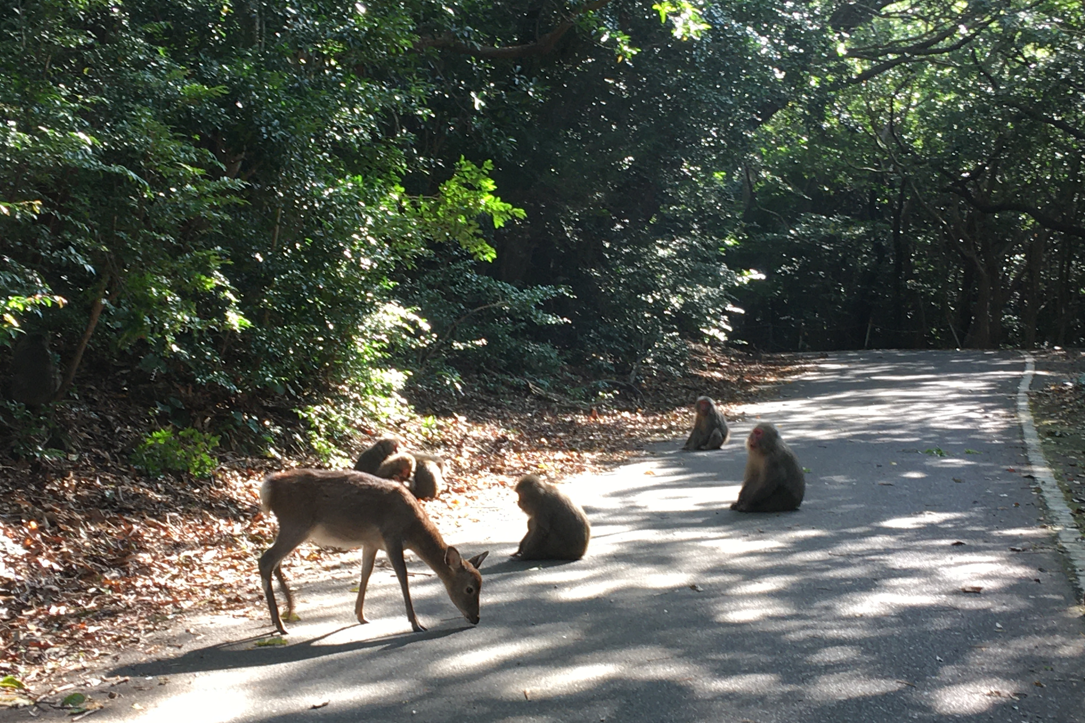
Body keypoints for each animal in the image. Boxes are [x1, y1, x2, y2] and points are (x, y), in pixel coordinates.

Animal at [258, 466, 488, 629]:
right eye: (469, 588)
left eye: (480, 585)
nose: (476, 618)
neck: (412, 528)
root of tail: (268, 488)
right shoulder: (391, 537)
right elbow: (402, 576)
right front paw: (416, 623)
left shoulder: (371, 543)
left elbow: (366, 573)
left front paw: (360, 615)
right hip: (296, 523)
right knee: (266, 560)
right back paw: (280, 624)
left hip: (294, 528)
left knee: (275, 562)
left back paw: (288, 611)